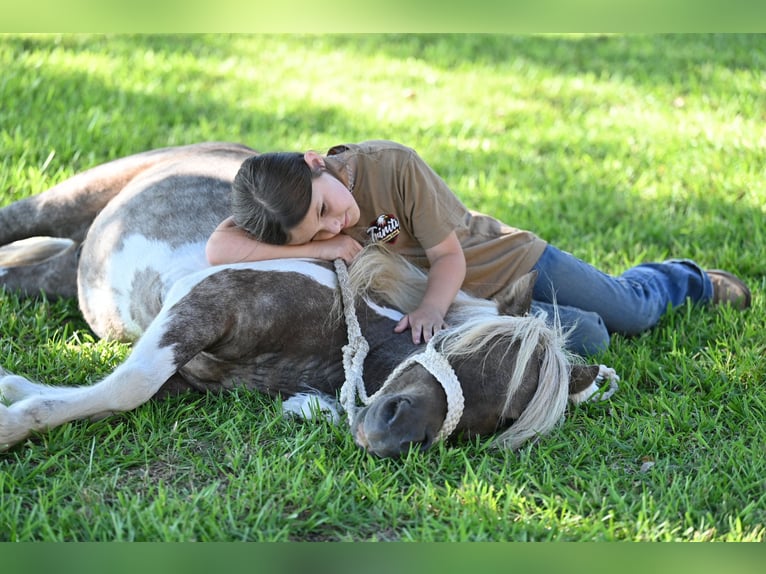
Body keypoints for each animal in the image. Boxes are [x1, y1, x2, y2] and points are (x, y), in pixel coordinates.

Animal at [0, 142, 616, 458]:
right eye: (468, 353)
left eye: (507, 415)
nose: (391, 435)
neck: (341, 329)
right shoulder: (205, 301)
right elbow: (128, 387)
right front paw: (11, 426)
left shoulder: (186, 369)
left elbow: (108, 395)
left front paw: (15, 390)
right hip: (64, 200)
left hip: (63, 272)